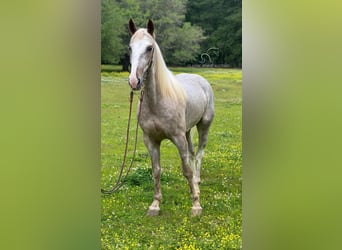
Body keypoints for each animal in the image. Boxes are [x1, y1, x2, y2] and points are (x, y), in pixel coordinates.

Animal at [127, 19, 214, 216]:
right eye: (130, 47)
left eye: (149, 48)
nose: (134, 81)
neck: (158, 102)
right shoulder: (151, 140)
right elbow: (156, 171)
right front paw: (155, 204)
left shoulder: (178, 138)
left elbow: (186, 170)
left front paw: (196, 205)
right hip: (188, 131)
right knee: (192, 154)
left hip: (203, 126)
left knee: (198, 155)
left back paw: (197, 185)